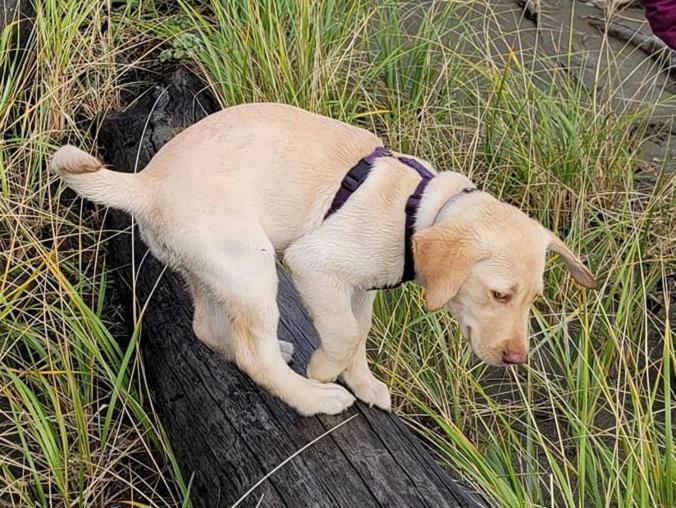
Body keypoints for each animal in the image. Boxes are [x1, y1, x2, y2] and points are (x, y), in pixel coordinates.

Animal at [50, 103, 596, 416]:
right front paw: (326, 372)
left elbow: (358, 335)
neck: (414, 209)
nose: (517, 359)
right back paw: (312, 398)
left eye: (533, 300)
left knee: (212, 329)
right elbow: (344, 336)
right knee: (254, 355)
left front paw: (364, 382)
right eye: (499, 294)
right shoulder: (315, 266)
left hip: (215, 268)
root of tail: (144, 184)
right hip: (254, 264)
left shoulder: (359, 290)